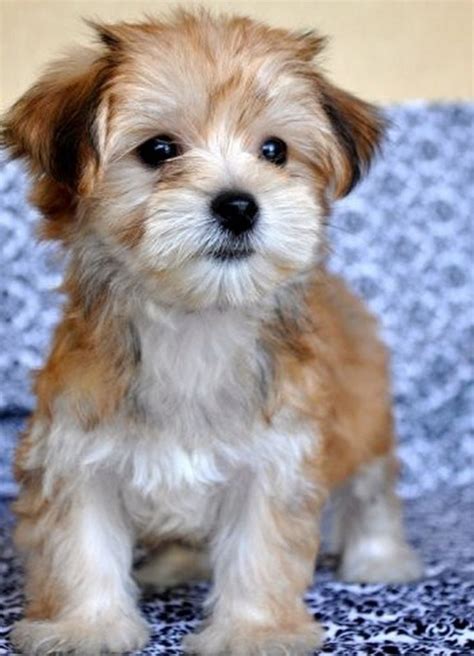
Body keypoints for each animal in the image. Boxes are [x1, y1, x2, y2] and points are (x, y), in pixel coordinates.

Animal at [1, 10, 420, 656]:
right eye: (159, 150)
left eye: (274, 150)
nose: (239, 205)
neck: (196, 320)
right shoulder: (74, 451)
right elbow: (80, 546)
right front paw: (84, 626)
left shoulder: (274, 461)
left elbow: (258, 550)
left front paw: (254, 632)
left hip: (367, 413)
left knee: (372, 486)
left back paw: (380, 558)